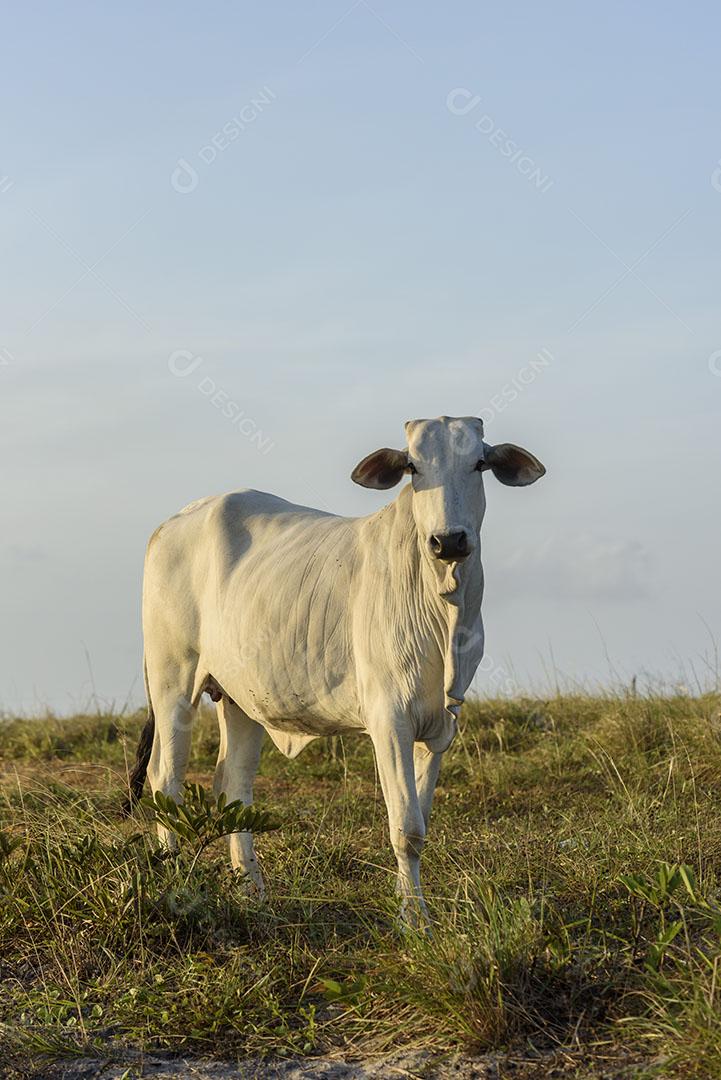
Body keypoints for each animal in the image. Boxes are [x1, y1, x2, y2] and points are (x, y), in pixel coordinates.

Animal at [126, 412, 543, 920]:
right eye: (412, 467)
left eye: (480, 463)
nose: (449, 541)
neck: (442, 608)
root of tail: (174, 521)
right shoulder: (389, 718)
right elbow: (406, 828)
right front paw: (415, 920)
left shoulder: (442, 723)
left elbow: (419, 822)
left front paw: (412, 910)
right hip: (173, 683)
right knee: (166, 782)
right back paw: (173, 884)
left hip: (240, 698)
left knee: (234, 786)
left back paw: (253, 894)